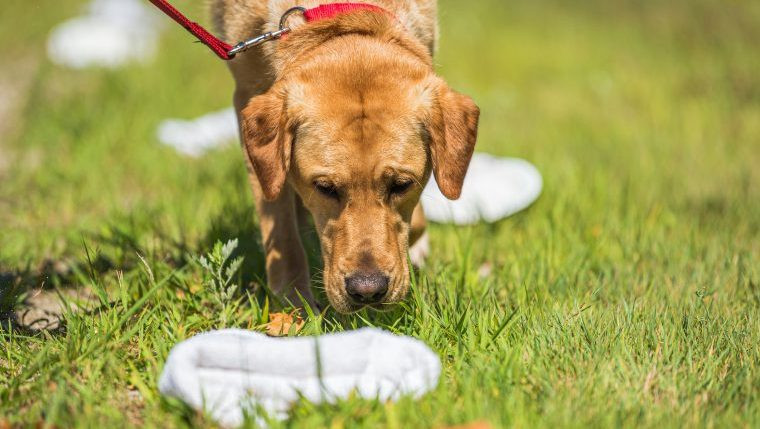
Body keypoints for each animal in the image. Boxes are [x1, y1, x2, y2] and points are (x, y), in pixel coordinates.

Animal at [211, 0, 478, 314]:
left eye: (401, 184)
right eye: (324, 187)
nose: (367, 291)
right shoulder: (247, 97)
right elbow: (280, 224)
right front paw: (295, 301)